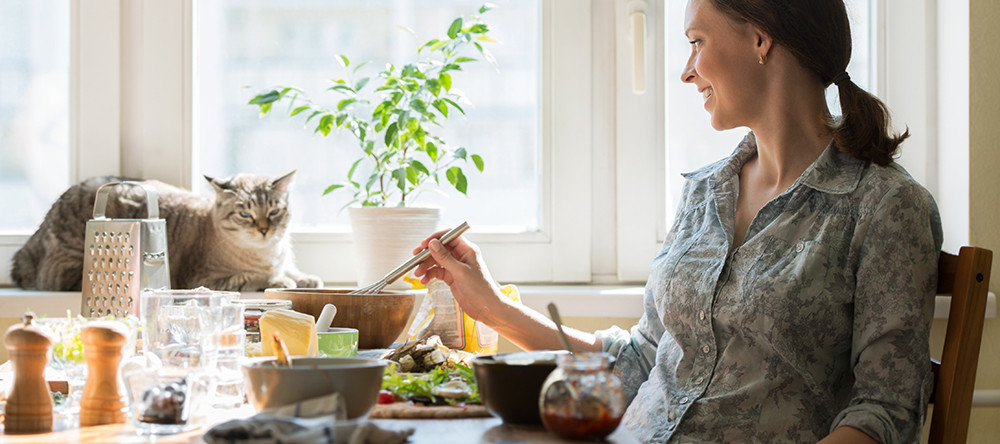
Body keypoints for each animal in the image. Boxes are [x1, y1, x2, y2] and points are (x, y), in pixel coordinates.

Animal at [11, 172, 324, 294]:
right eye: (245, 214)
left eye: (274, 212)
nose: (264, 230)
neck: (268, 251)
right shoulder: (204, 278)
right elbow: (255, 277)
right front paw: (281, 281)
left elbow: (297, 273)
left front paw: (307, 279)